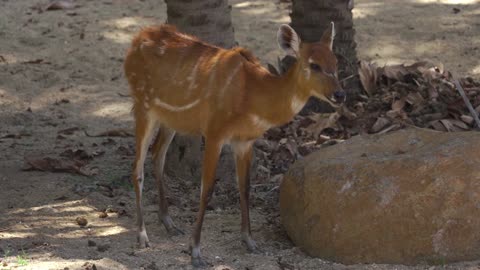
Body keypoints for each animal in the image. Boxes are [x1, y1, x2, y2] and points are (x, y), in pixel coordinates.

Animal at [122, 22, 344, 266]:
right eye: (314, 65)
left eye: (336, 62)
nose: (340, 94)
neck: (253, 96)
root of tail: (136, 40)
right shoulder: (214, 132)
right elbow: (207, 188)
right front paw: (195, 251)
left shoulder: (244, 141)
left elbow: (244, 187)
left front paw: (250, 242)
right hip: (143, 104)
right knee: (137, 167)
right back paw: (142, 236)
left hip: (170, 118)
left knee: (157, 155)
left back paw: (170, 224)